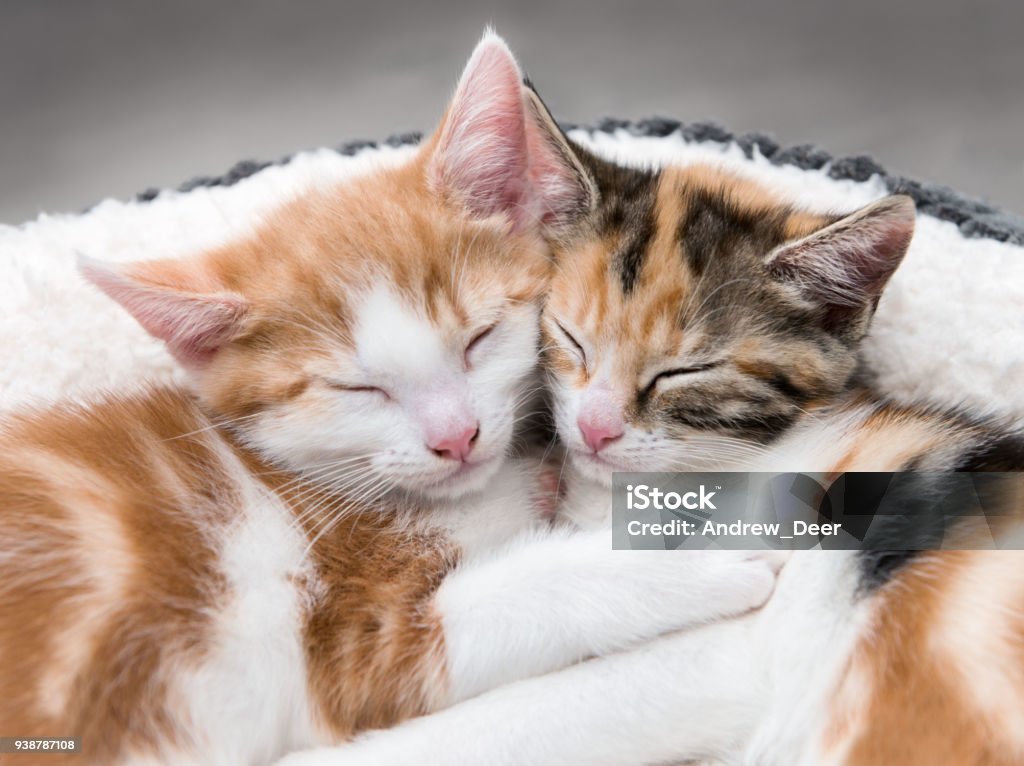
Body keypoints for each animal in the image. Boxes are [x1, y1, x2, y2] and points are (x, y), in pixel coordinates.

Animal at [0, 35, 774, 766]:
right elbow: (530, 601)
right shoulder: (359, 648)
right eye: (358, 389)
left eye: (479, 338)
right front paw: (690, 566)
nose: (456, 437)